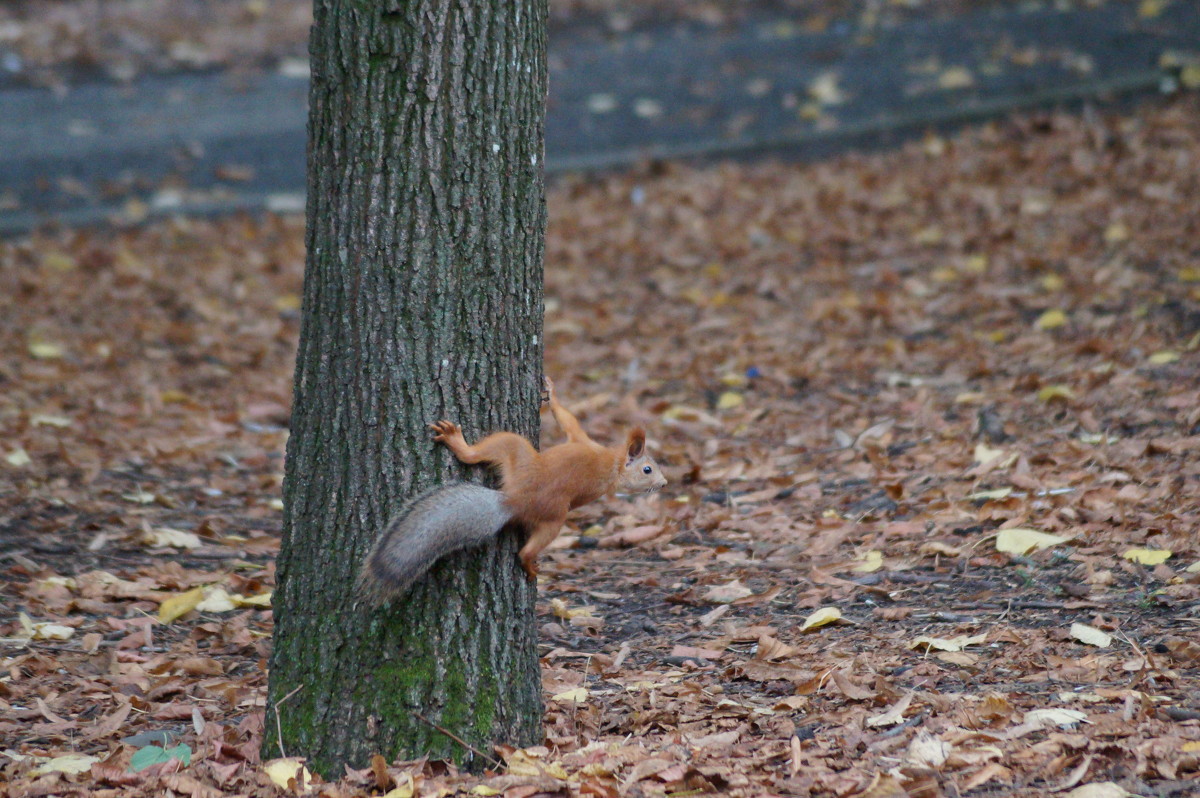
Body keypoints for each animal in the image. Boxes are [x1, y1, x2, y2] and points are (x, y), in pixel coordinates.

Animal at [360, 376, 672, 600]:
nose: (664, 483)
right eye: (648, 469)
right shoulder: (583, 440)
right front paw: (551, 391)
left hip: (524, 469)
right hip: (525, 466)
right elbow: (567, 419)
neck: (612, 464)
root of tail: (512, 500)